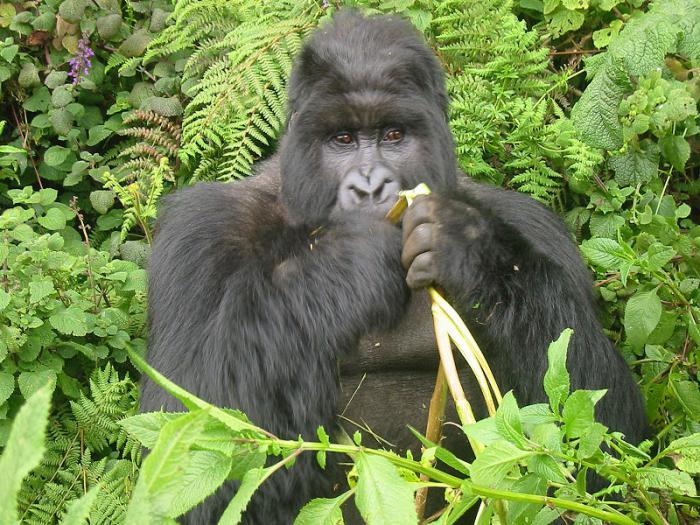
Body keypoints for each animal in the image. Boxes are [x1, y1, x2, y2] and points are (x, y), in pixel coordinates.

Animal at [139, 10, 648, 520]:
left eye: (393, 135)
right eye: (342, 139)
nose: (369, 187)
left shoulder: (538, 226)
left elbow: (599, 440)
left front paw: (470, 248)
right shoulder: (200, 231)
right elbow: (188, 439)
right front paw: (350, 260)